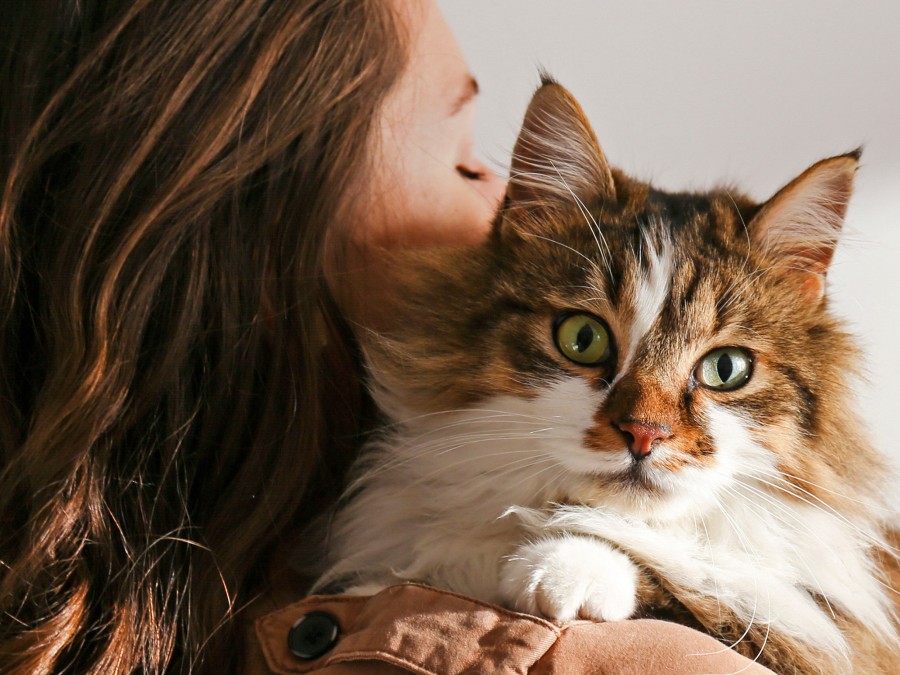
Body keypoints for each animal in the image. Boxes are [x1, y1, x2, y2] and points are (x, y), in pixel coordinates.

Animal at [312, 78, 896, 672]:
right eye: (582, 338)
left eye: (726, 369)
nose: (644, 434)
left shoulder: (825, 635)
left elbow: (702, 583)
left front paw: (564, 567)